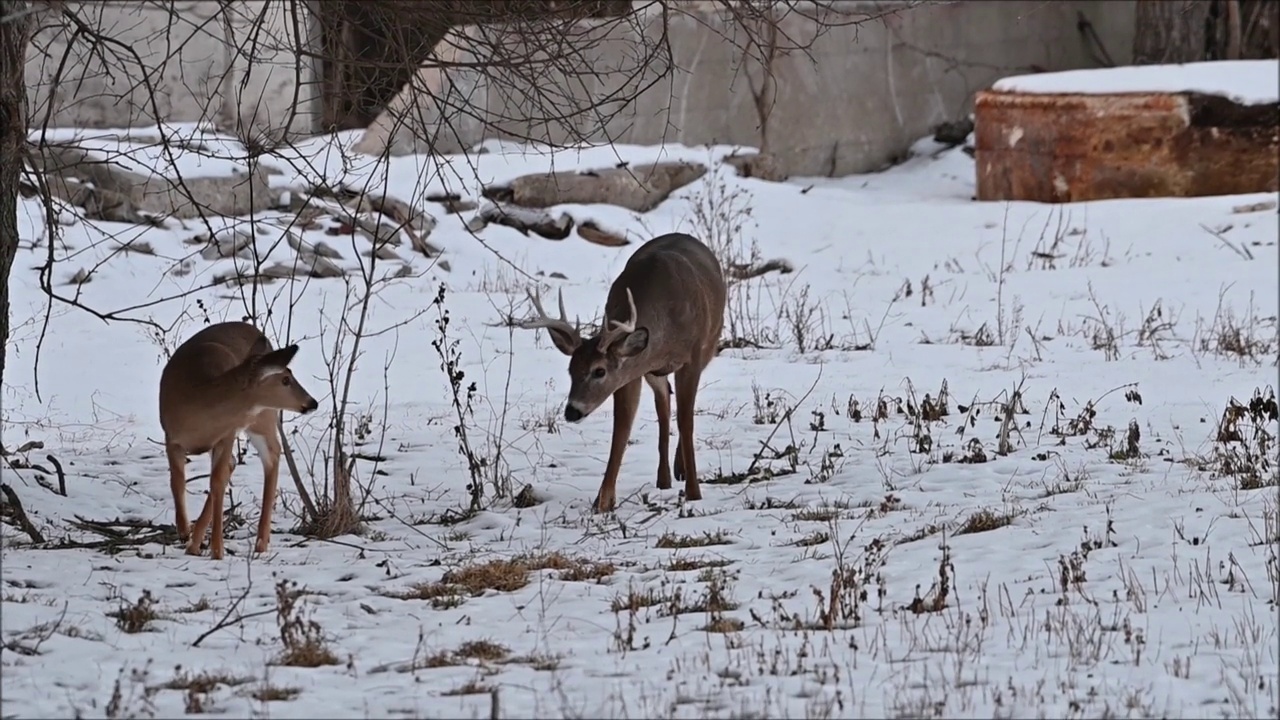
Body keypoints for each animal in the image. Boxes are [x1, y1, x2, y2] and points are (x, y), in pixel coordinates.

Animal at [160, 320, 320, 561]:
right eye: (285, 379)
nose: (312, 402)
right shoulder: (171, 437)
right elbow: (176, 481)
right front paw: (184, 530)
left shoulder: (227, 434)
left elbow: (217, 480)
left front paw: (217, 550)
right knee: (238, 461)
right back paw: (195, 543)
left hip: (263, 417)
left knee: (271, 453)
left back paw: (261, 543)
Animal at [514, 230, 727, 509]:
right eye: (571, 370)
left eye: (599, 371)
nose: (572, 411)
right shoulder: (630, 372)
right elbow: (622, 428)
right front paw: (602, 502)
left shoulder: (691, 358)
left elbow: (686, 421)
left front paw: (694, 493)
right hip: (651, 371)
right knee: (663, 401)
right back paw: (663, 478)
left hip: (709, 343)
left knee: (678, 409)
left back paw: (678, 470)